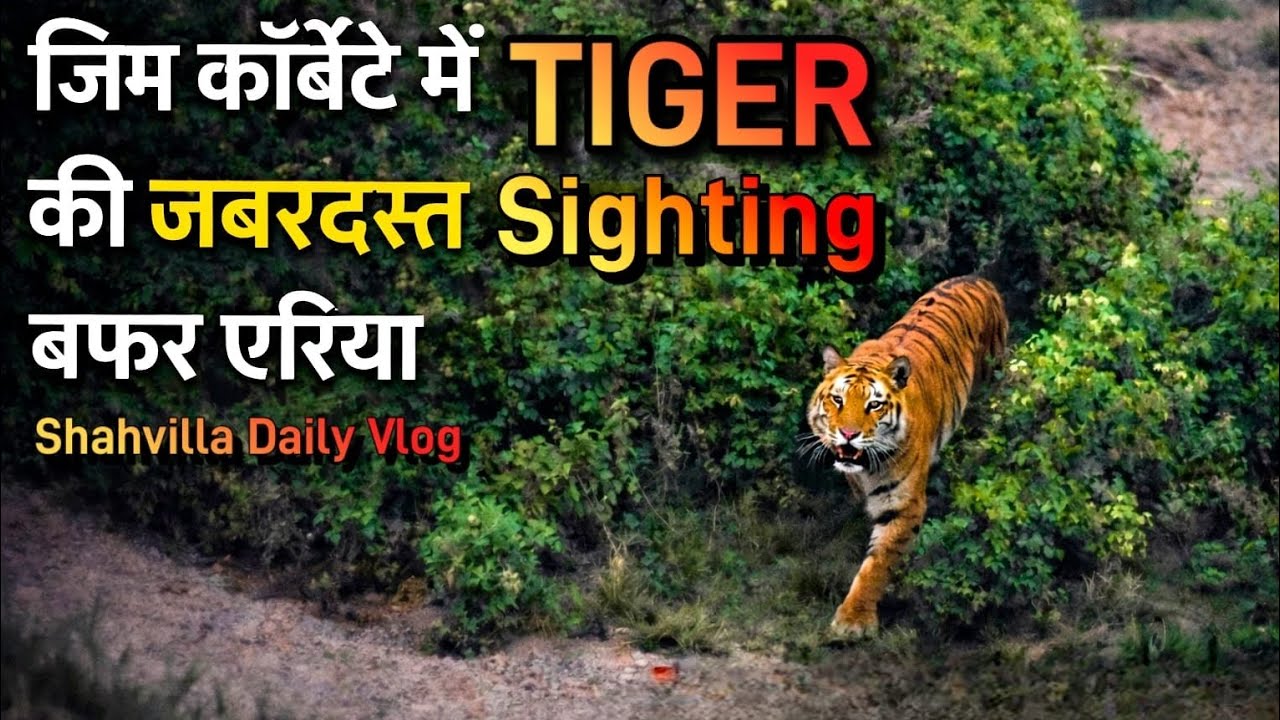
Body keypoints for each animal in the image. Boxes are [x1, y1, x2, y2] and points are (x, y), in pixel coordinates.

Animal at [805, 275, 1008, 637]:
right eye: (838, 400)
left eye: (874, 404)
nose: (848, 434)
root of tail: (978, 278)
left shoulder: (903, 504)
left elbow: (877, 564)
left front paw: (853, 621)